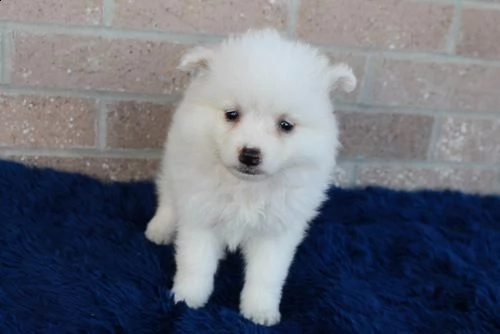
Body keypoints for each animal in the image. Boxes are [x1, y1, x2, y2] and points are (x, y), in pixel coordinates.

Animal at [145, 28, 356, 326]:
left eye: (285, 125)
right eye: (231, 114)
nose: (250, 154)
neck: (246, 187)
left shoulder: (277, 231)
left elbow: (266, 275)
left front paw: (259, 311)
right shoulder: (201, 215)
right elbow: (195, 263)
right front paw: (187, 298)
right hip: (175, 164)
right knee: (168, 197)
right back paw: (159, 229)